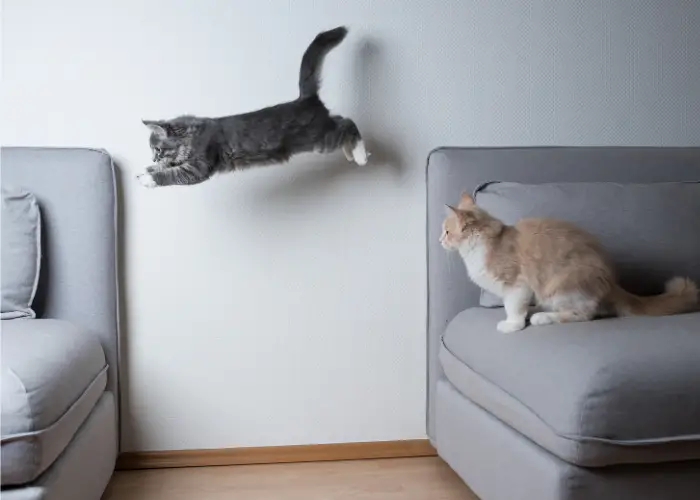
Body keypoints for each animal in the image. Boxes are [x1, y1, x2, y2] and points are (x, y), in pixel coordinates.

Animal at [136, 26, 366, 188]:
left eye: (157, 149)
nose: (153, 157)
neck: (194, 135)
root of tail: (305, 98)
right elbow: (168, 166)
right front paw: (146, 169)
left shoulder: (199, 166)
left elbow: (171, 174)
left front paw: (149, 178)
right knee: (341, 120)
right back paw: (350, 153)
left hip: (322, 139)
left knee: (348, 123)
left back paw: (360, 155)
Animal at [440, 193, 696, 334]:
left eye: (446, 231)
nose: (439, 239)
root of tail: (612, 281)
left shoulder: (517, 284)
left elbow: (513, 307)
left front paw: (512, 324)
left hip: (563, 285)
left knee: (584, 314)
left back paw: (542, 317)